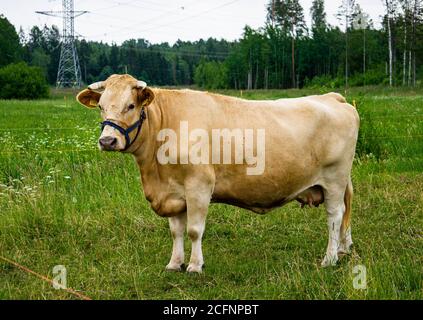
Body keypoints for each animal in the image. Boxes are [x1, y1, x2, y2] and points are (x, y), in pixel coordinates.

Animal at [77, 74, 362, 272]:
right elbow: (176, 231)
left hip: (334, 178)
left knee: (335, 216)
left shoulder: (199, 185)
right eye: (101, 106)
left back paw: (330, 258)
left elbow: (194, 230)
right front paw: (174, 263)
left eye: (131, 105)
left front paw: (194, 266)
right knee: (346, 211)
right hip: (341, 181)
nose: (107, 141)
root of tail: (331, 97)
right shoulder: (173, 193)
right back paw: (344, 249)